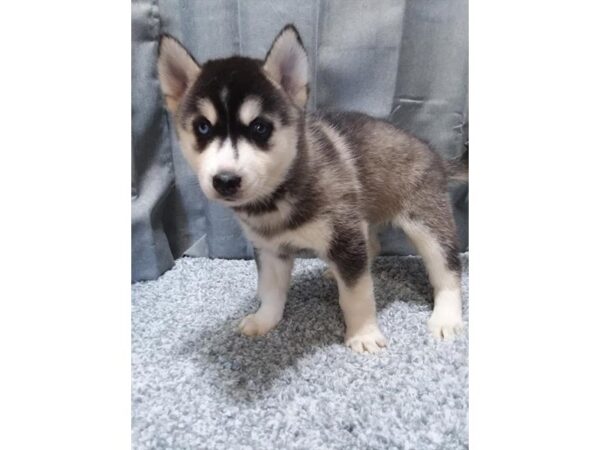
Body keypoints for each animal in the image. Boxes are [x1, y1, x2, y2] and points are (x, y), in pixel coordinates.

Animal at [157, 24, 466, 354]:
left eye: (260, 128)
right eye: (202, 127)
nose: (225, 180)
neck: (278, 195)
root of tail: (434, 153)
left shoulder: (345, 238)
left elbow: (357, 295)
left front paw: (363, 334)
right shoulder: (271, 249)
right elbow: (271, 290)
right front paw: (265, 320)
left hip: (427, 224)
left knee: (447, 270)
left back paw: (447, 317)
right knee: (372, 246)